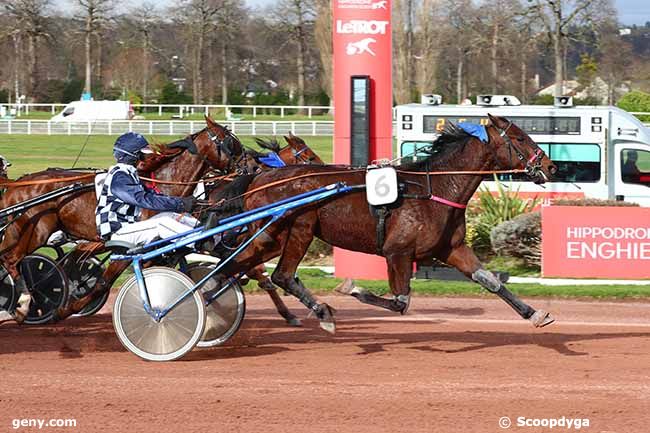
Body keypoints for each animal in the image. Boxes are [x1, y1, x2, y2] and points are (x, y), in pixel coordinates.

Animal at [0, 115, 247, 320]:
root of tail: (18, 182)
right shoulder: (127, 245)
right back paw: (23, 303)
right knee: (11, 259)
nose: (250, 165)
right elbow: (102, 281)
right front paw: (66, 308)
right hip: (34, 229)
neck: (161, 184)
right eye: (231, 143)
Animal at [208, 114, 556, 330]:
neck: (436, 188)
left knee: (236, 267)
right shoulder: (397, 252)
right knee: (279, 275)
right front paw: (351, 287)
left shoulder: (452, 248)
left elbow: (491, 281)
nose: (551, 166)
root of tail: (259, 177)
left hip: (270, 238)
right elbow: (400, 302)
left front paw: (534, 313)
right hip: (296, 230)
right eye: (520, 138)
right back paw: (321, 312)